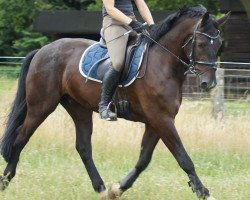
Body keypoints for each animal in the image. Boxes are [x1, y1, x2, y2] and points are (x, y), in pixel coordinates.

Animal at [0, 5, 229, 199]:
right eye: (201, 44)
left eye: (218, 46)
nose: (209, 83)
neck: (163, 63)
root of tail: (43, 50)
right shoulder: (161, 119)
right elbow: (183, 157)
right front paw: (204, 192)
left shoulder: (157, 121)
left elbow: (144, 159)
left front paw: (117, 188)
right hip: (41, 107)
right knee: (20, 139)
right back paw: (5, 181)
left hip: (79, 109)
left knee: (83, 147)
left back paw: (101, 188)